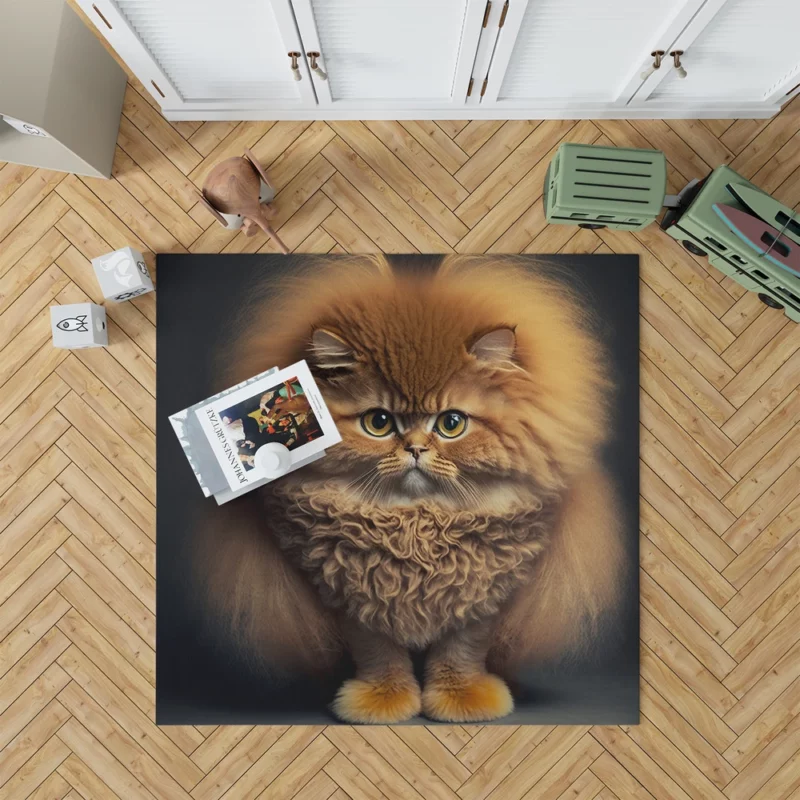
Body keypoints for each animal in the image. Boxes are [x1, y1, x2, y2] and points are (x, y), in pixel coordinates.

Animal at [194, 256, 624, 724]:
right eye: (379, 422)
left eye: (451, 423)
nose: (415, 448)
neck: (416, 527)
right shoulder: (352, 600)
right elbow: (381, 657)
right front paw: (382, 702)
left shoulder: (481, 600)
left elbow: (460, 654)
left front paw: (462, 700)